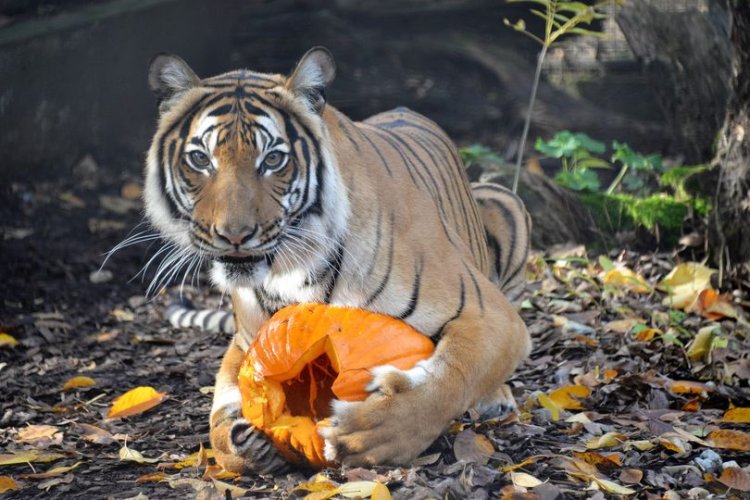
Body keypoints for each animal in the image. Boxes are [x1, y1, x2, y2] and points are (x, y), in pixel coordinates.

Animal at [144, 47, 532, 472]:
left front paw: (372, 433)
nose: (234, 235)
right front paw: (239, 440)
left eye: (273, 160)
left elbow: (449, 380)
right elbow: (220, 415)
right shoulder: (246, 340)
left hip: (506, 202)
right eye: (200, 159)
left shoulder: (488, 314)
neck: (293, 270)